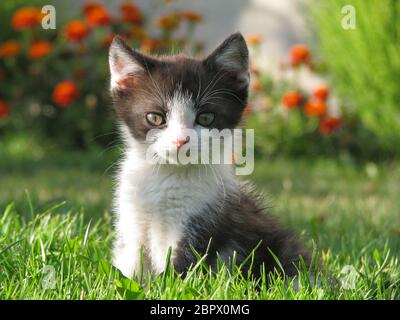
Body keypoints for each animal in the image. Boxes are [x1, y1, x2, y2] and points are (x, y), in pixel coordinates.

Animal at [108, 31, 310, 278]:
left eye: (205, 118)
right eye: (155, 118)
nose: (180, 140)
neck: (167, 175)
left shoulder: (201, 222)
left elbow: (180, 268)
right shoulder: (132, 215)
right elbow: (131, 263)